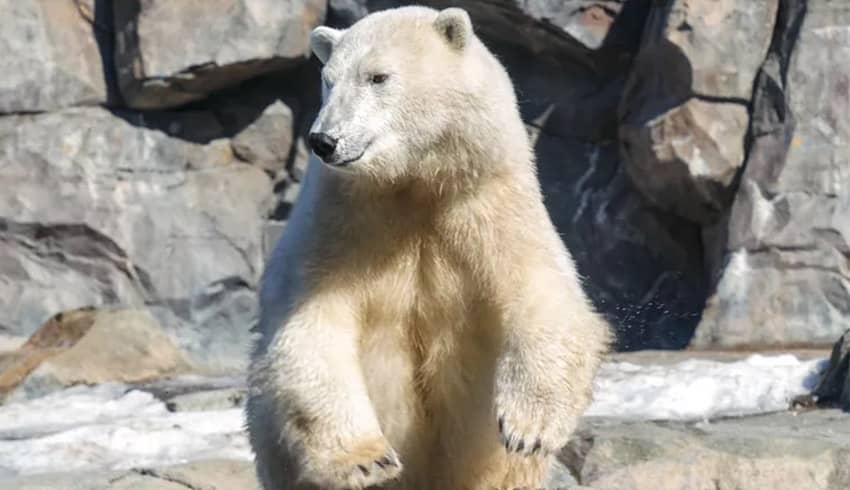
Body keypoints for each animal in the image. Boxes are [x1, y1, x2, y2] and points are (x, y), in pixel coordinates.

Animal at [245, 4, 608, 490]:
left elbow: (544, 296)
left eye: (377, 76)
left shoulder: (489, 206)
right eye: (328, 79)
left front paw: (527, 428)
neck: (414, 185)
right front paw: (366, 460)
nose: (325, 139)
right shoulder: (339, 220)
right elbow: (311, 325)